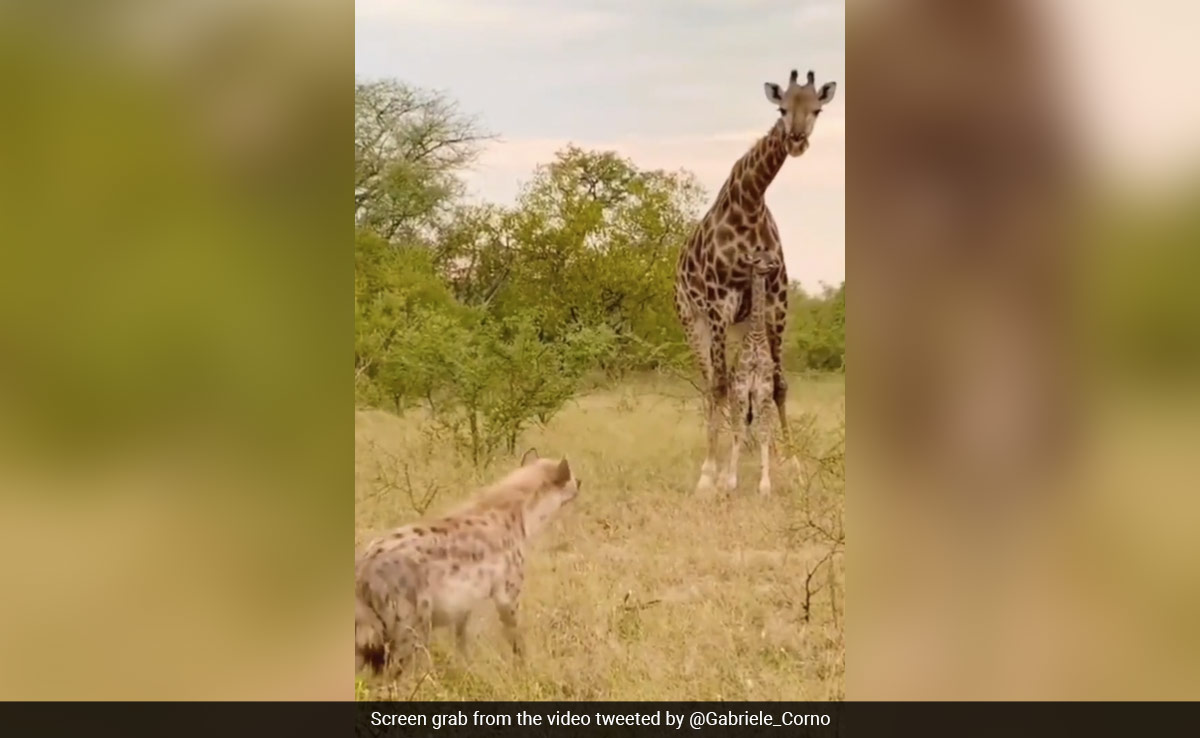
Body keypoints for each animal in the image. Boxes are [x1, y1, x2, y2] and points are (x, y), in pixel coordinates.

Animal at [674, 68, 837, 495]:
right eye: (781, 109)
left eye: (816, 109)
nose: (796, 140)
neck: (749, 202)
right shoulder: (719, 303)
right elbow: (719, 386)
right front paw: (710, 474)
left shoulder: (777, 302)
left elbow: (778, 385)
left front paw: (789, 464)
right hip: (693, 320)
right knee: (711, 382)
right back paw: (714, 463)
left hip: (741, 325)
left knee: (737, 383)